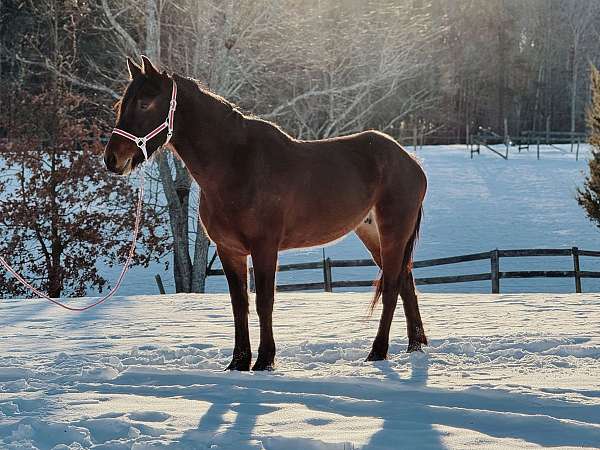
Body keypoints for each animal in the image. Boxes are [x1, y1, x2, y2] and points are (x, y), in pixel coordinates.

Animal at [105, 56, 428, 370]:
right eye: (121, 105)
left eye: (145, 103)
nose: (112, 159)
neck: (235, 165)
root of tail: (410, 160)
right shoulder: (229, 250)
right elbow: (239, 304)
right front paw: (238, 361)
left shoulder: (264, 247)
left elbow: (264, 302)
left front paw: (264, 360)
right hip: (373, 234)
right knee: (406, 283)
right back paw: (415, 345)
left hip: (393, 233)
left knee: (391, 287)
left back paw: (378, 351)